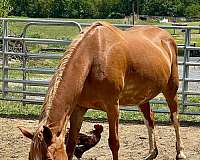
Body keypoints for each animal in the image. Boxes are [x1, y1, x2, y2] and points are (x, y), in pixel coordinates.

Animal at [19, 21, 186, 160]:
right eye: (30, 157)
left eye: (48, 158)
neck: (94, 57)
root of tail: (167, 37)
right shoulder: (78, 109)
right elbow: (71, 144)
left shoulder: (112, 107)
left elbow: (114, 143)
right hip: (142, 96)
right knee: (149, 119)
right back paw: (152, 153)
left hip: (170, 89)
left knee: (175, 118)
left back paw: (180, 152)